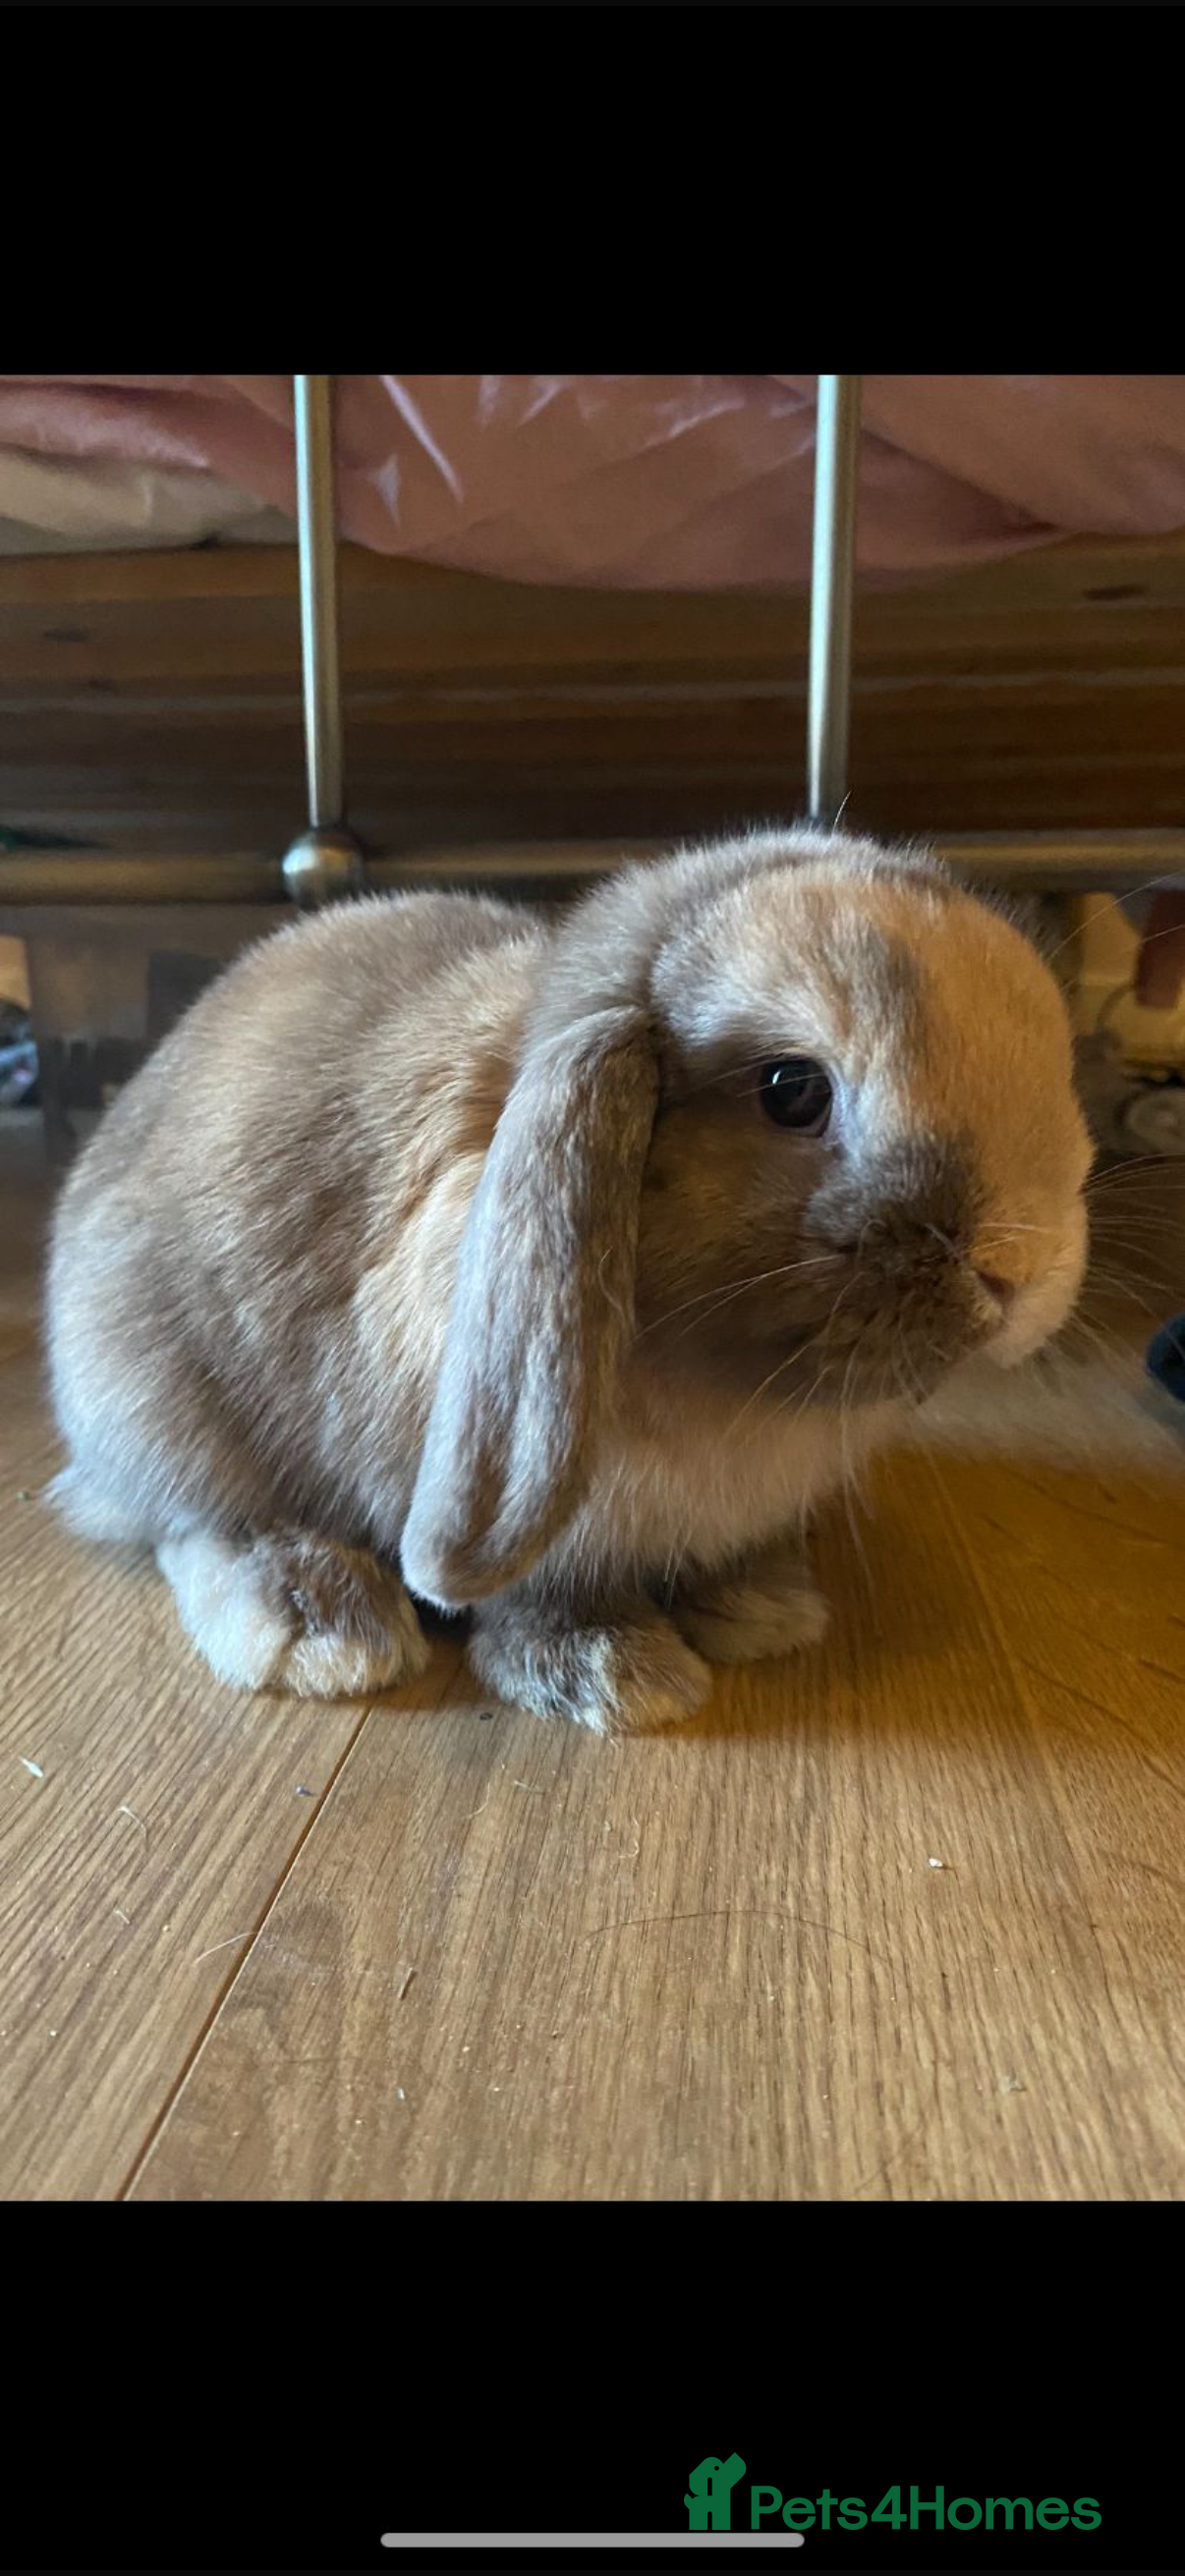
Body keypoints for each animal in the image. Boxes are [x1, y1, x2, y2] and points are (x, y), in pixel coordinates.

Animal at [45, 827, 1092, 1735]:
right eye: (793, 1090)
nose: (1023, 1269)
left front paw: (763, 1608)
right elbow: (550, 1593)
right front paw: (615, 1674)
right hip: (157, 1399)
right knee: (194, 1521)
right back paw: (323, 1630)